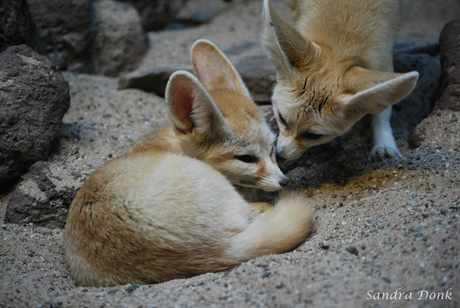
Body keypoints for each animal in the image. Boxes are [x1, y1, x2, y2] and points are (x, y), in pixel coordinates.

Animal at [260, 0, 418, 162]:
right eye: (282, 119)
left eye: (313, 136)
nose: (280, 156)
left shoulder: (383, 57)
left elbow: (383, 109)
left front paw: (385, 144)